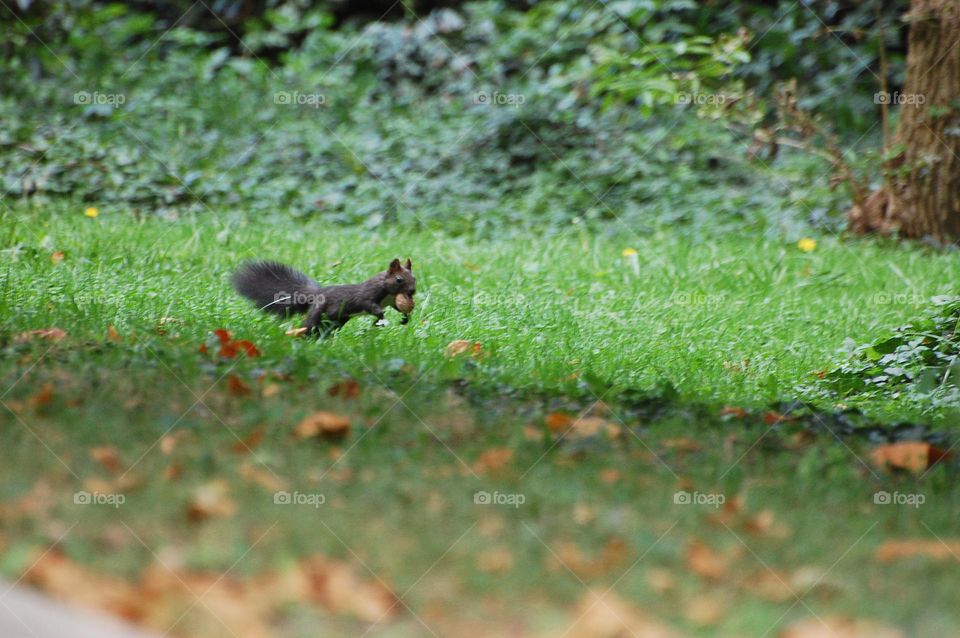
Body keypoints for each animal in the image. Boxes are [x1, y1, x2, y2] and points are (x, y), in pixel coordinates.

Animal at [232, 258, 416, 335]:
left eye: (414, 278)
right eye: (399, 279)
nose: (412, 291)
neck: (389, 293)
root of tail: (316, 294)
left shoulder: (391, 301)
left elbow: (396, 308)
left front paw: (405, 318)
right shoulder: (367, 295)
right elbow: (368, 304)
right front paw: (380, 316)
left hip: (337, 320)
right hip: (319, 310)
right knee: (309, 324)